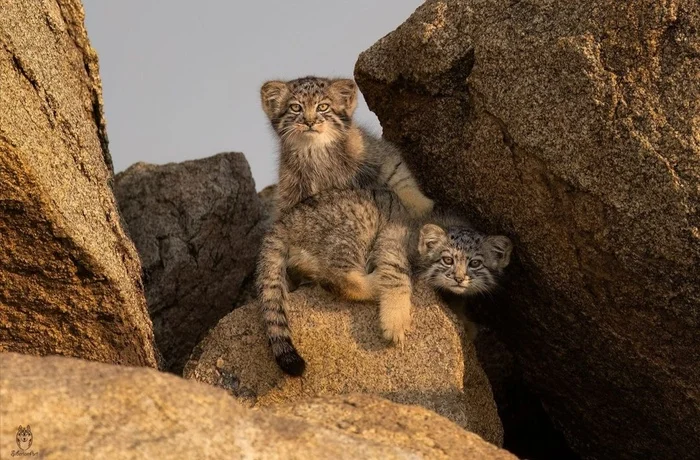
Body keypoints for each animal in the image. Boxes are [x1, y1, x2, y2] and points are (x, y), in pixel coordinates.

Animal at [258, 75, 432, 217]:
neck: (316, 151)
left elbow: (404, 184)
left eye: (322, 107)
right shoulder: (290, 191)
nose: (309, 121)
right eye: (296, 107)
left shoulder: (385, 161)